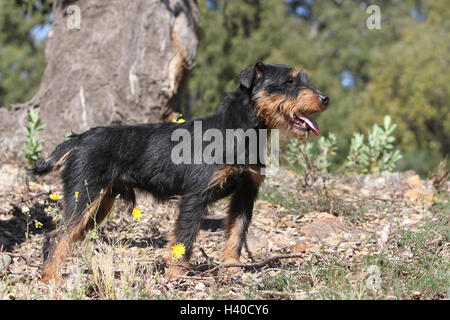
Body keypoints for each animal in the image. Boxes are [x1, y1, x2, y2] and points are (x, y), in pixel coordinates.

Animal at [30, 62, 326, 280]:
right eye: (289, 82)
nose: (325, 98)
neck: (238, 130)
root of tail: (79, 138)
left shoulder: (245, 195)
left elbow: (236, 234)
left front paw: (231, 269)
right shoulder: (195, 197)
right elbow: (184, 238)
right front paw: (176, 276)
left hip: (98, 206)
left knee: (60, 236)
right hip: (85, 197)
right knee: (57, 236)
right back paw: (51, 279)